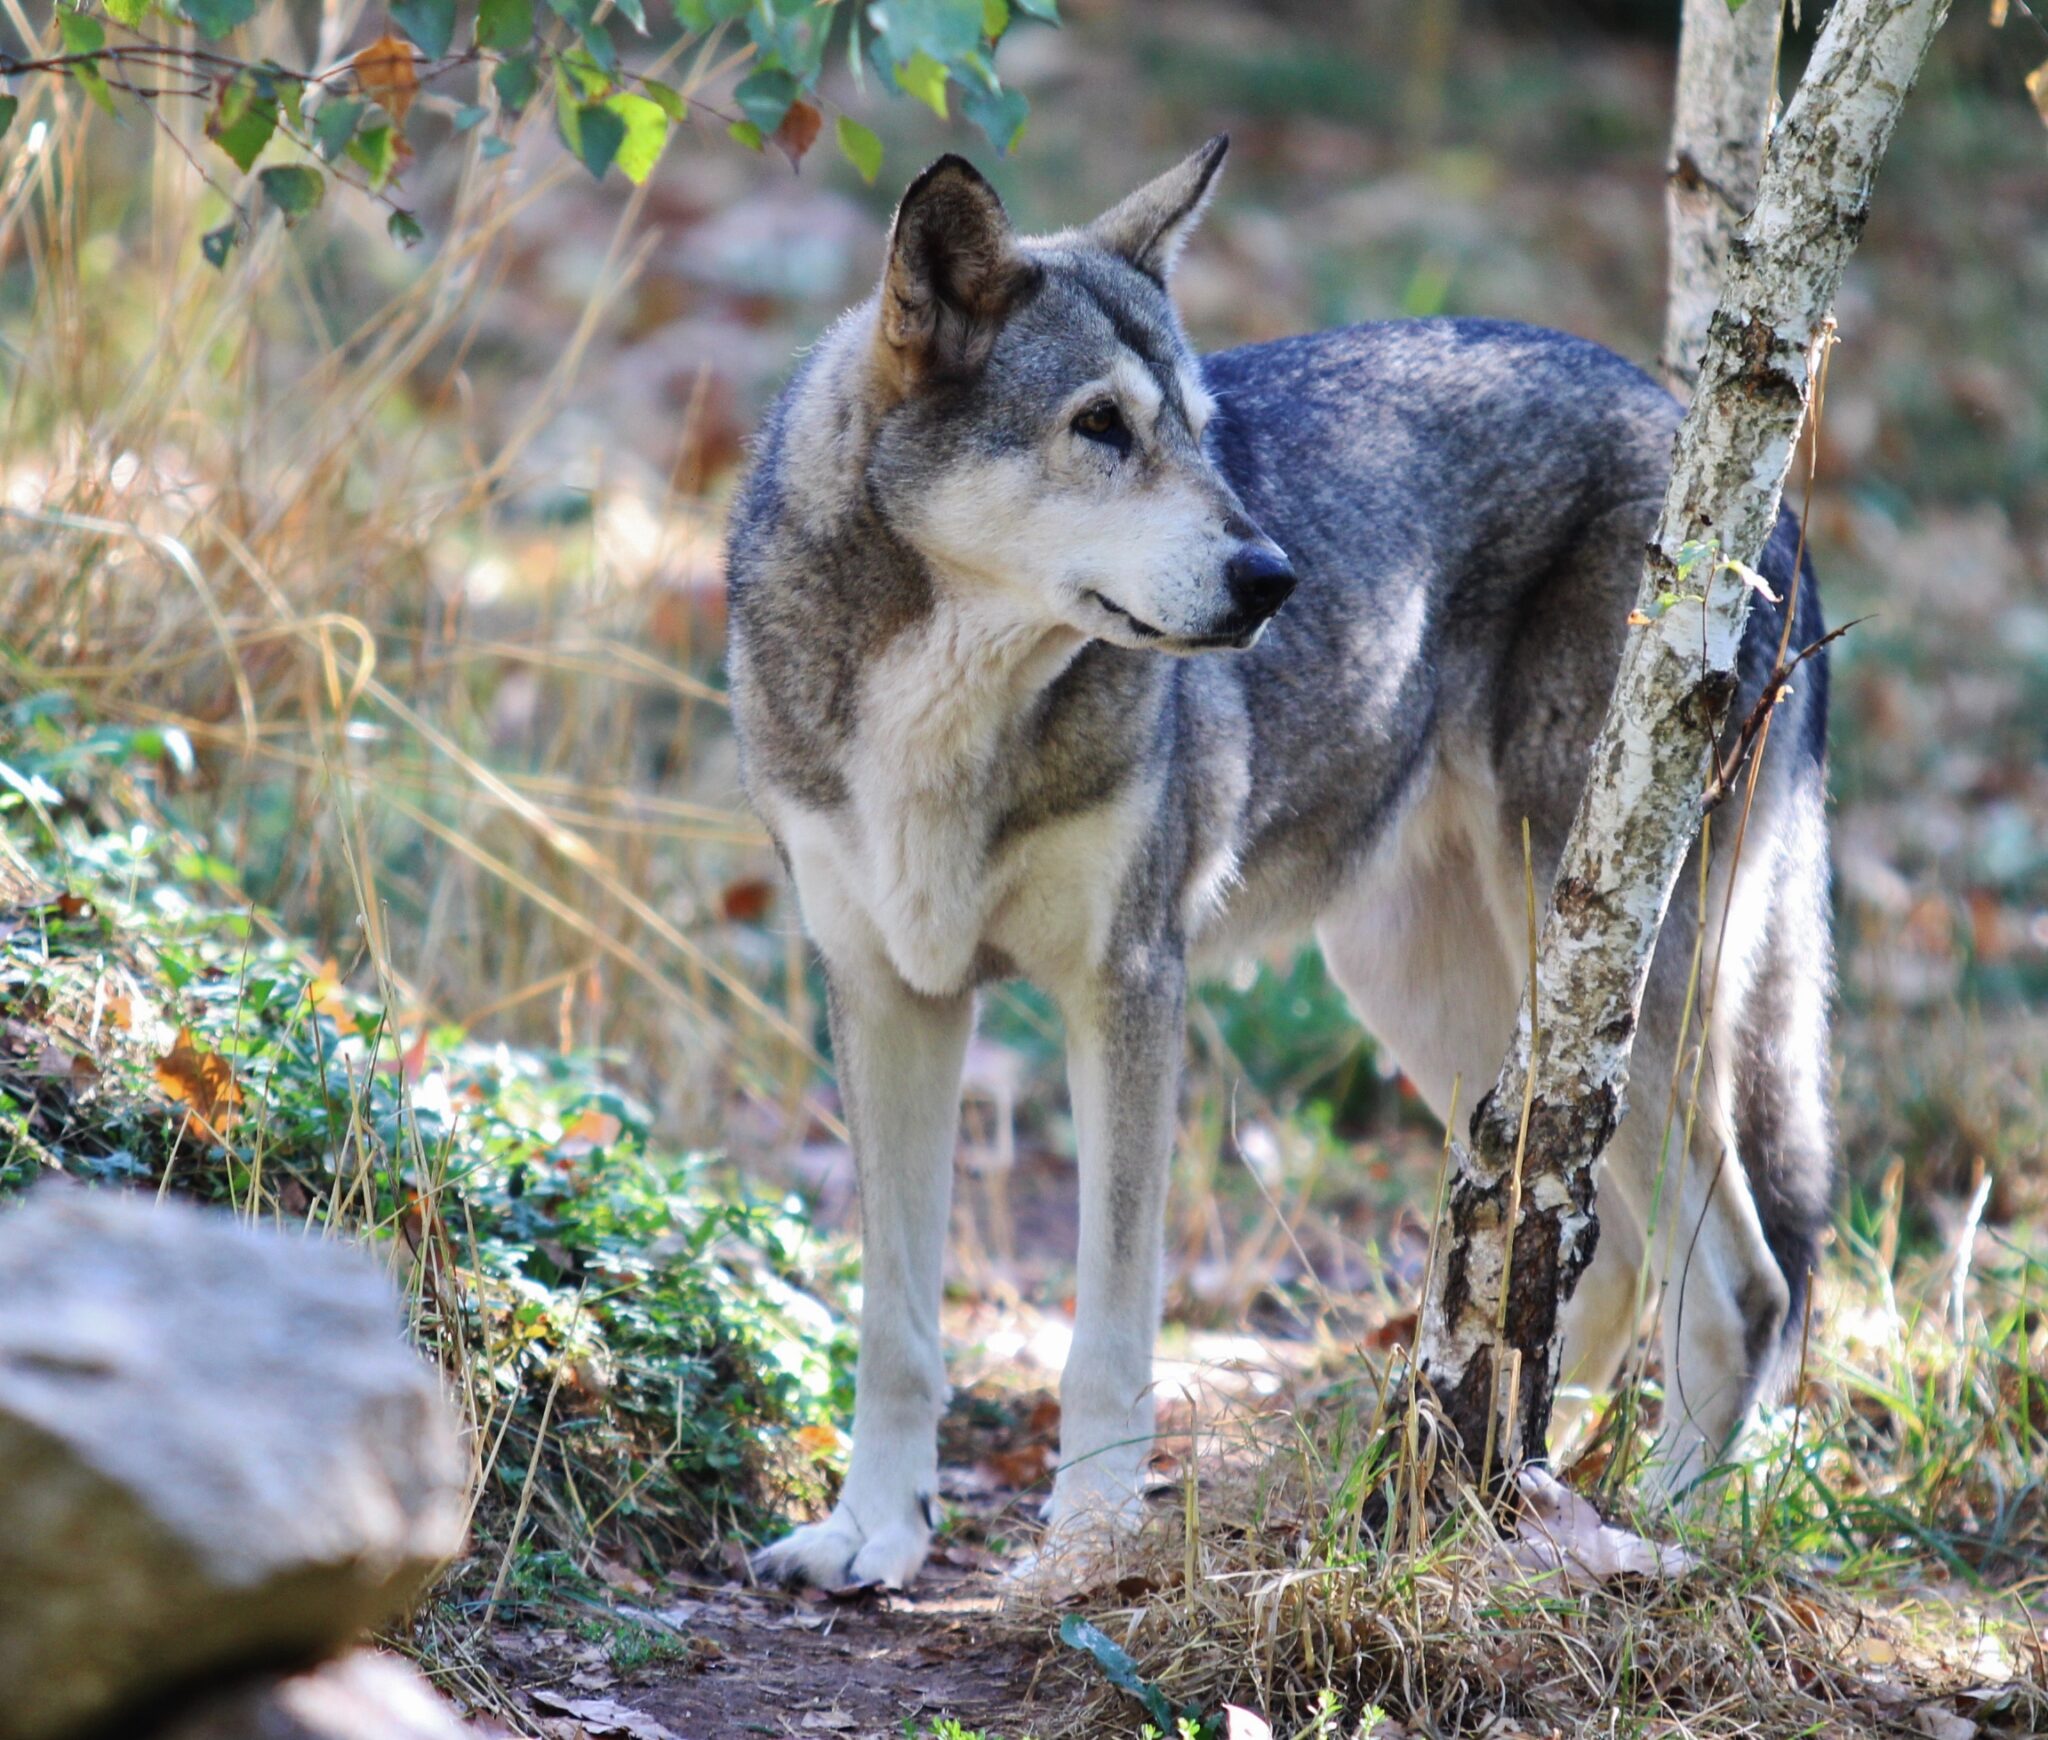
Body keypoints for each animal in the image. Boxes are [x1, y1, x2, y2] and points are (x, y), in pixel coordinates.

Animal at [729, 139, 1835, 1588]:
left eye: (1199, 429)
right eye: (1100, 427)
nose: (1274, 577)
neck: (943, 712)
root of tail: (1756, 491)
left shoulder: (1130, 993)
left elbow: (1109, 1330)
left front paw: (1085, 1550)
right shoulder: (887, 998)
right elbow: (895, 1325)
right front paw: (871, 1534)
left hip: (1597, 977)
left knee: (1743, 1289)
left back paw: (1662, 1532)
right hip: (1449, 1011)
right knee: (1593, 1264)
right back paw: (1532, 1494)